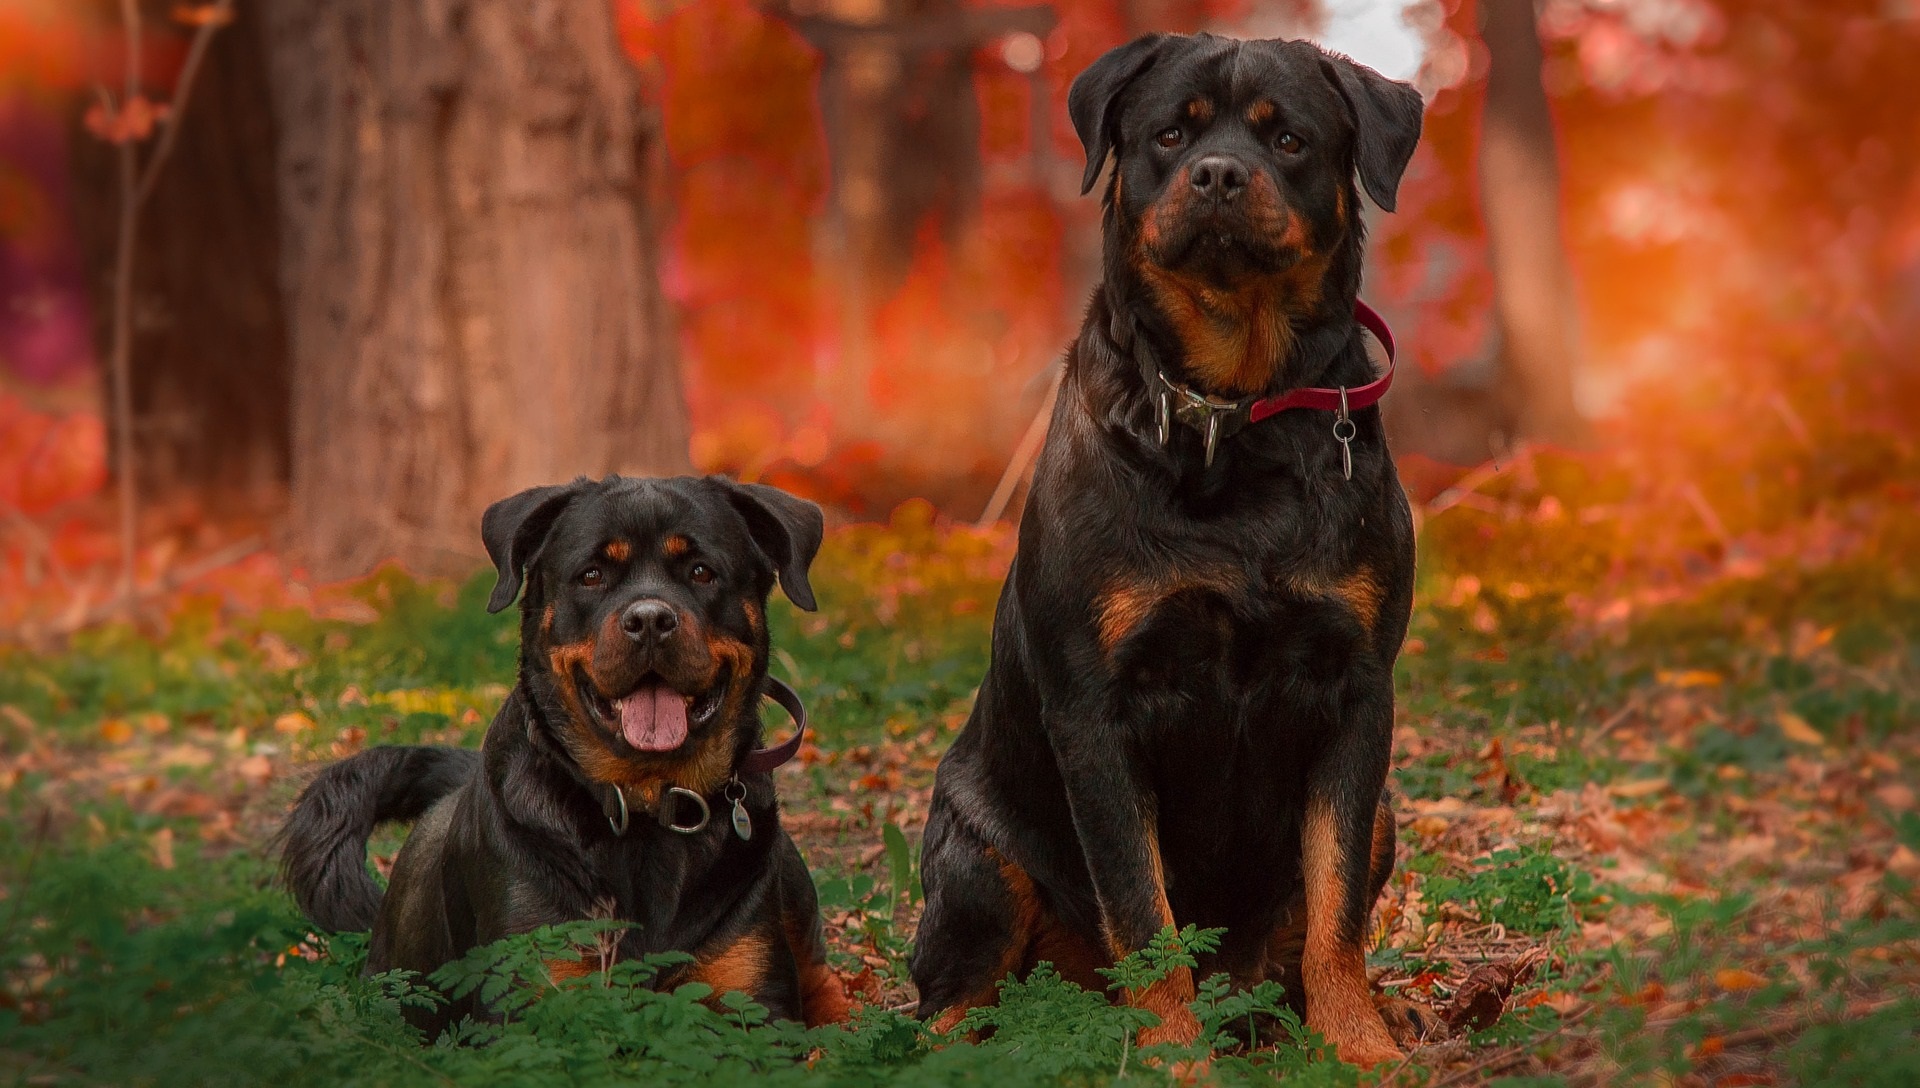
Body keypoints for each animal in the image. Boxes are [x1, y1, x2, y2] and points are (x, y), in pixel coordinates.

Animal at [282, 479, 848, 1036]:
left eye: (702, 572)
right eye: (592, 575)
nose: (650, 619)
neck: (647, 805)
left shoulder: (756, 1001)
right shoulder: (525, 989)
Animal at [913, 36, 1428, 1074]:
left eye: (1288, 138)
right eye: (1169, 134)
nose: (1220, 173)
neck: (1232, 415)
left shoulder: (1358, 693)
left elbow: (1338, 908)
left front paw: (1357, 1044)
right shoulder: (1096, 713)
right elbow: (1143, 915)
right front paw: (1172, 1060)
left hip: (1391, 812)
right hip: (978, 855)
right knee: (950, 997)